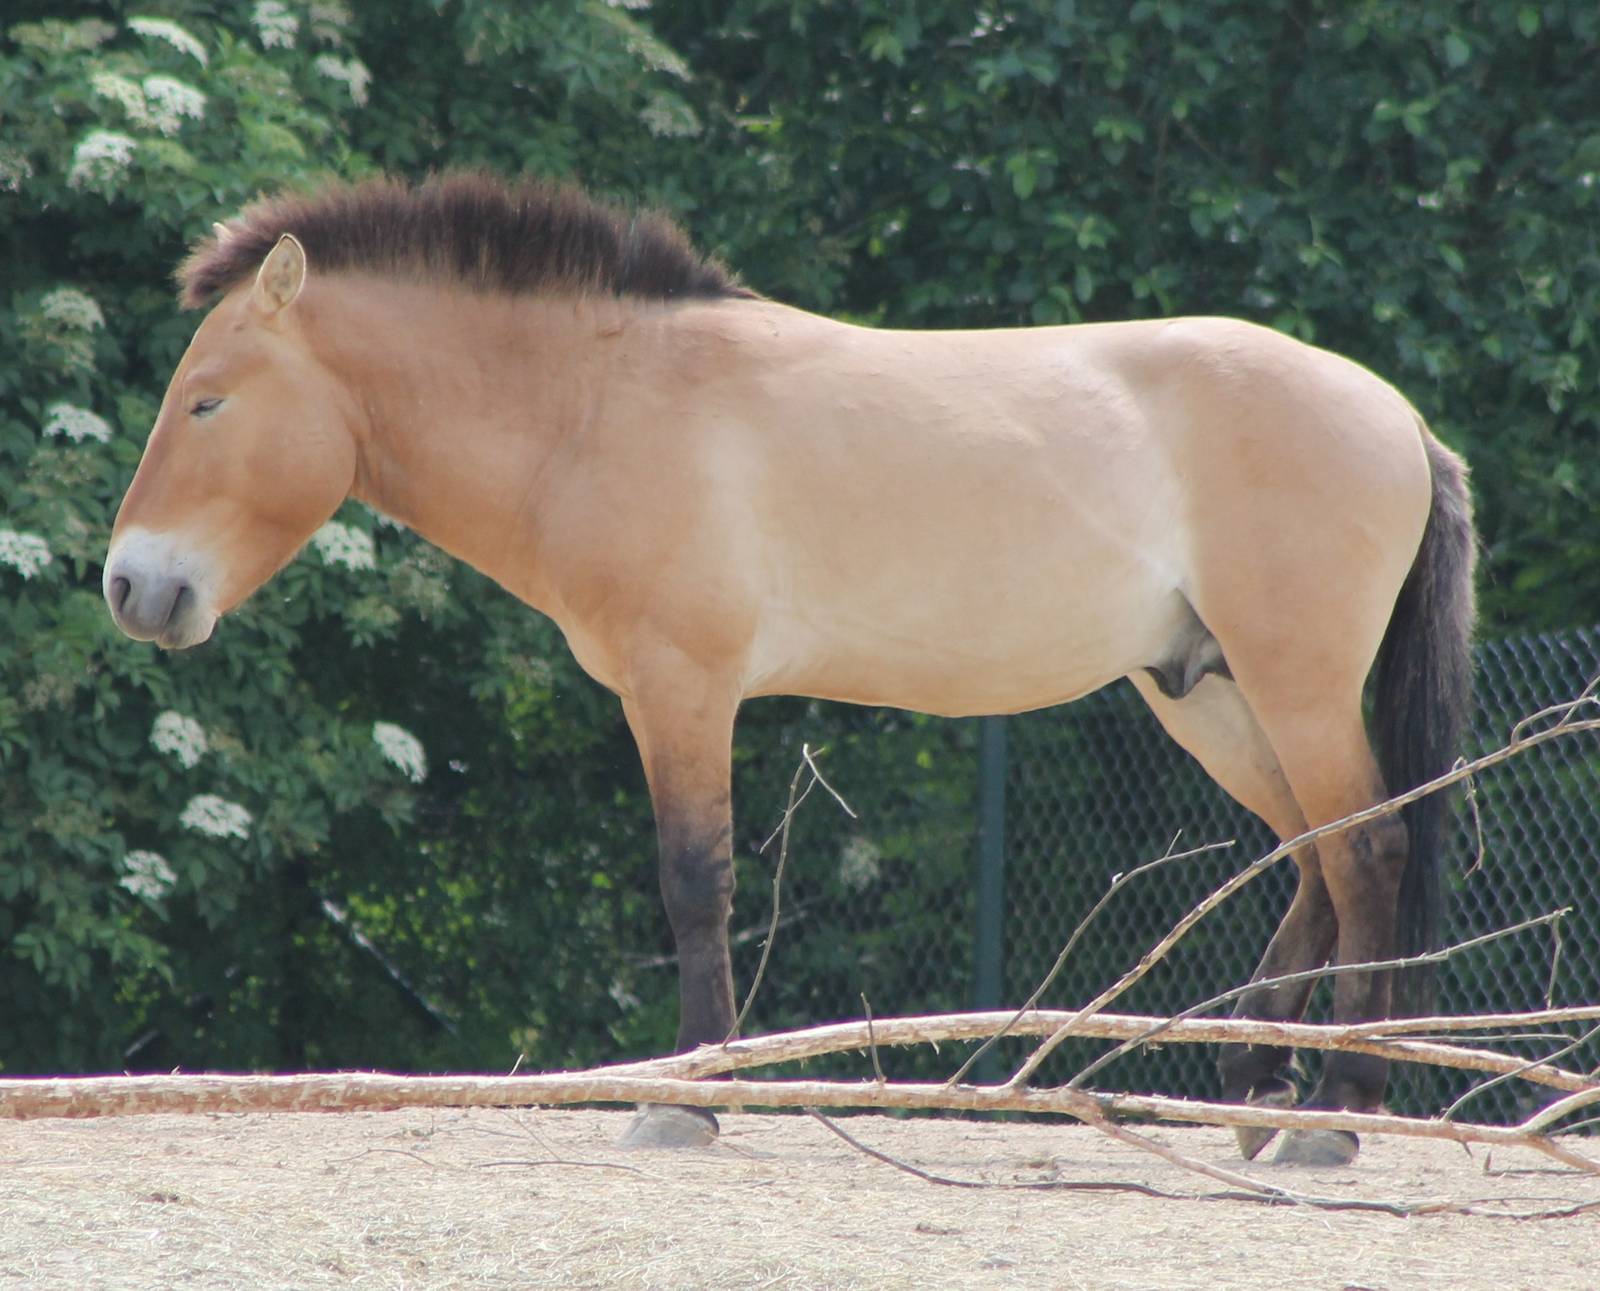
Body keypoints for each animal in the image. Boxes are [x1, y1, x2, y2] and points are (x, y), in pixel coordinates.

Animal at [103, 172, 1475, 1162]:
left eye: (207, 401)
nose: (131, 585)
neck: (603, 403)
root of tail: (1400, 417)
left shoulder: (681, 689)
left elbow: (695, 883)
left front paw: (689, 1098)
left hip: (1292, 683)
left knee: (1367, 849)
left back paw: (1333, 1108)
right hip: (1210, 692)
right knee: (1313, 851)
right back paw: (1255, 1085)